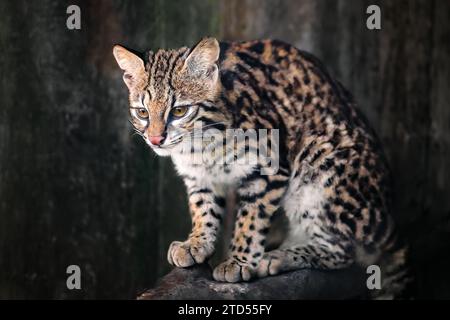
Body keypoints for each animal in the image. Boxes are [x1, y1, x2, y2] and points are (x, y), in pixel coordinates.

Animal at [112, 38, 412, 298]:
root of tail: (387, 215)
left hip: (321, 159)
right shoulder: (198, 177)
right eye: (142, 112)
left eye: (178, 111)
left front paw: (239, 261)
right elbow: (203, 208)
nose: (155, 139)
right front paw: (196, 242)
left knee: (343, 251)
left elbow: (251, 217)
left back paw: (279, 256)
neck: (199, 145)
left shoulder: (271, 167)